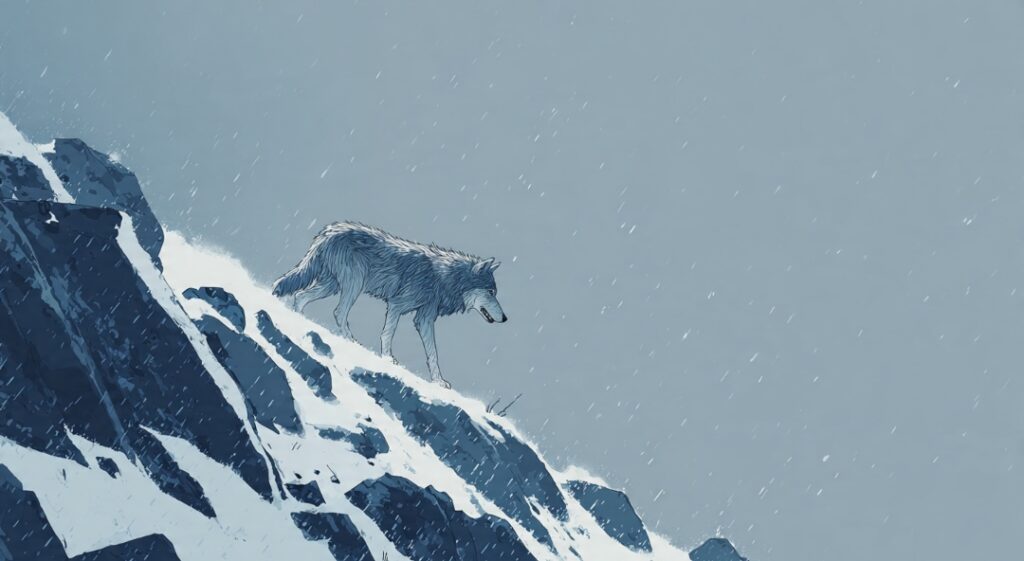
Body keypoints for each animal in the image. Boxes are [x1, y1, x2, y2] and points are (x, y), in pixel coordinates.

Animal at [273, 221, 507, 388]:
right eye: (491, 292)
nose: (505, 318)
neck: (444, 277)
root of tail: (328, 230)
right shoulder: (397, 305)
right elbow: (388, 334)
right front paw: (388, 359)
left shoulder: (424, 318)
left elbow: (433, 354)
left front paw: (438, 382)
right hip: (353, 285)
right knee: (338, 312)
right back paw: (350, 340)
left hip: (332, 286)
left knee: (300, 296)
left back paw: (299, 320)